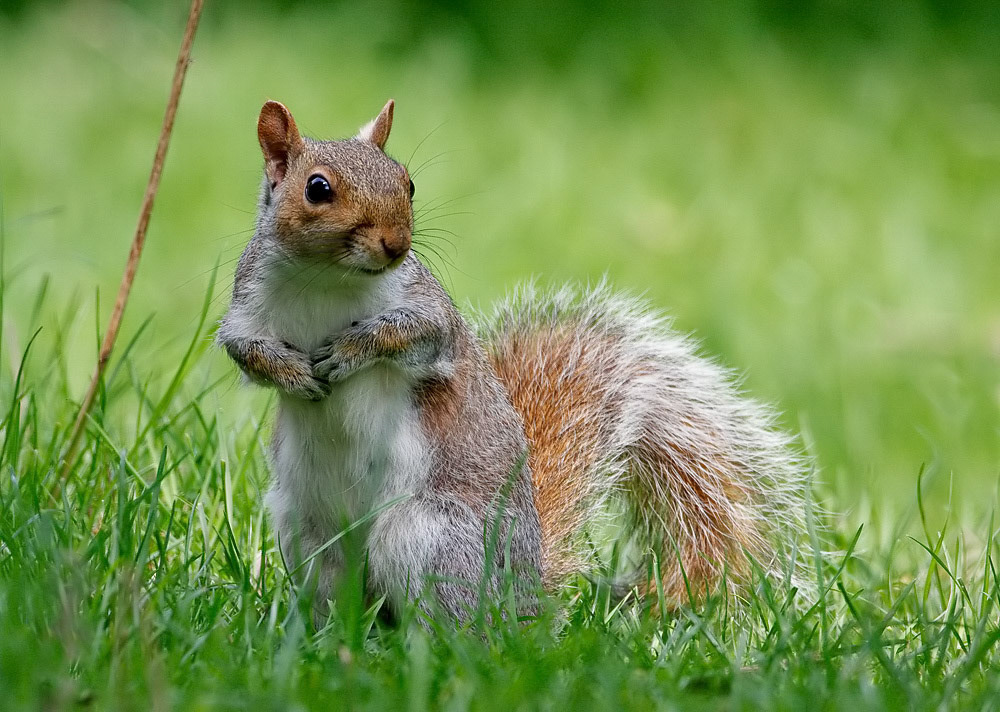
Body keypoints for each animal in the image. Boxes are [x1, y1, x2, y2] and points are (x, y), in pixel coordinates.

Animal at [218, 98, 809, 622]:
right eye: (317, 188)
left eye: (408, 183)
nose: (396, 244)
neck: (328, 281)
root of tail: (525, 591)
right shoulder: (245, 308)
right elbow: (245, 352)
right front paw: (291, 372)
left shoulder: (430, 315)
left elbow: (411, 335)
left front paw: (350, 350)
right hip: (308, 539)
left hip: (431, 541)